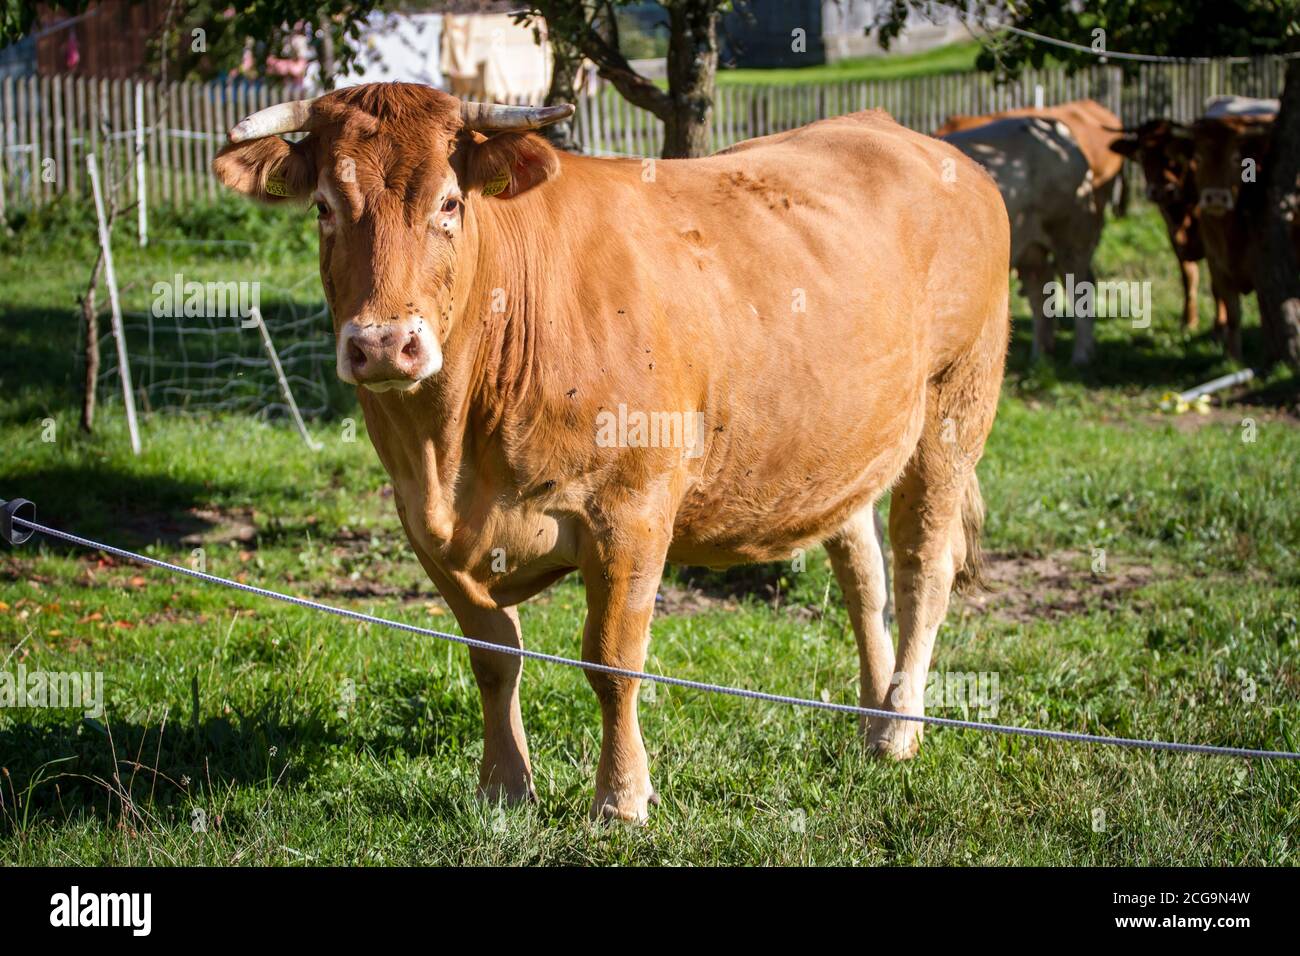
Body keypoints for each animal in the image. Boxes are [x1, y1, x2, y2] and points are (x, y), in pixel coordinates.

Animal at [213, 83, 1010, 822]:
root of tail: (912, 138)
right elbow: (493, 657)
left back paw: (899, 728)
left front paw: (621, 797)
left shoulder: (632, 510)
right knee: (862, 572)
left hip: (955, 409)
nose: (383, 344)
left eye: (449, 203)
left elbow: (612, 660)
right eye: (324, 207)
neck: (451, 446)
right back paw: (872, 717)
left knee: (922, 572)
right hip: (840, 445)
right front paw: (504, 787)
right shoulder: (424, 526)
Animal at [943, 116, 1104, 365]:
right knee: (1041, 289)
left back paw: (1081, 356)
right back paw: (1039, 356)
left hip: (1072, 234)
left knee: (1080, 288)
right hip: (1030, 247)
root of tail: (1051, 125)